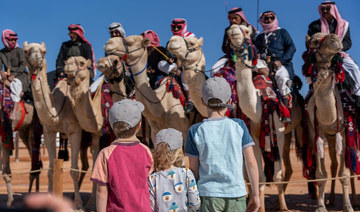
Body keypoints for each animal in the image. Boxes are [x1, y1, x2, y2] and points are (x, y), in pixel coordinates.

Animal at [22, 41, 88, 209]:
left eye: (44, 51)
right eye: (26, 51)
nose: (37, 58)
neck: (56, 110)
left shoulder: (75, 131)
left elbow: (74, 170)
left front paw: (78, 204)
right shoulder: (49, 132)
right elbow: (51, 170)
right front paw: (49, 200)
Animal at [302, 32, 356, 211]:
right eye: (314, 41)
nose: (335, 38)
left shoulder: (345, 132)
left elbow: (345, 174)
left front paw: (348, 206)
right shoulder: (317, 133)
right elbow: (321, 174)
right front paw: (320, 205)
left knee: (349, 167)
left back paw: (355, 201)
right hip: (331, 138)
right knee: (333, 165)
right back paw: (331, 200)